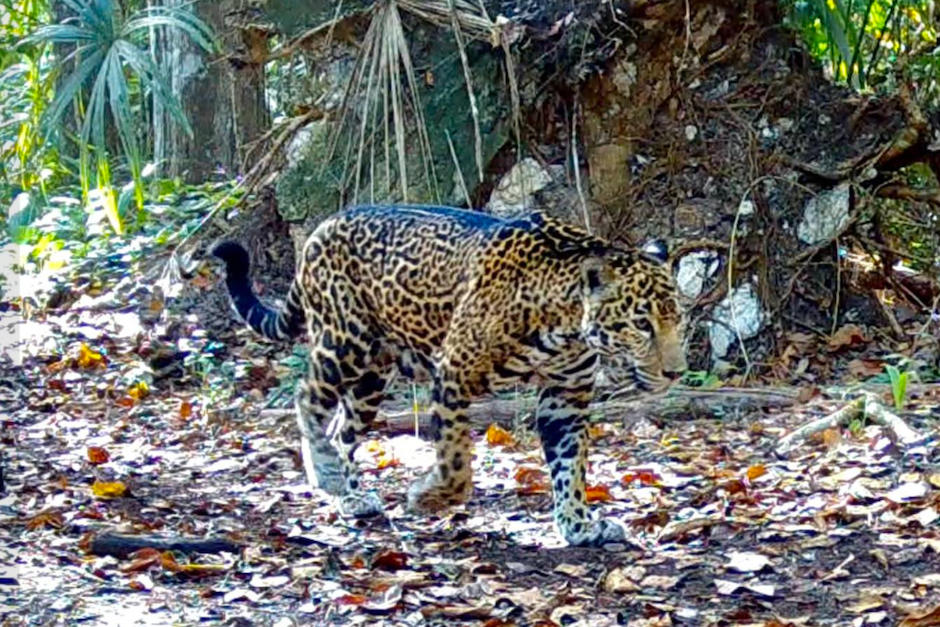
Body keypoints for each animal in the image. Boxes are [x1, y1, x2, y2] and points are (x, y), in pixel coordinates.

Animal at [213, 204, 687, 546]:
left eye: (677, 318)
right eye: (641, 323)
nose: (676, 371)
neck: (564, 320)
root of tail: (320, 228)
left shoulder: (565, 397)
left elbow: (570, 467)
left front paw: (578, 526)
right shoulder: (454, 373)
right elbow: (456, 461)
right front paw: (429, 497)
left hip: (372, 376)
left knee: (341, 428)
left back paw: (351, 495)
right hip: (344, 345)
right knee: (306, 396)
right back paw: (324, 473)